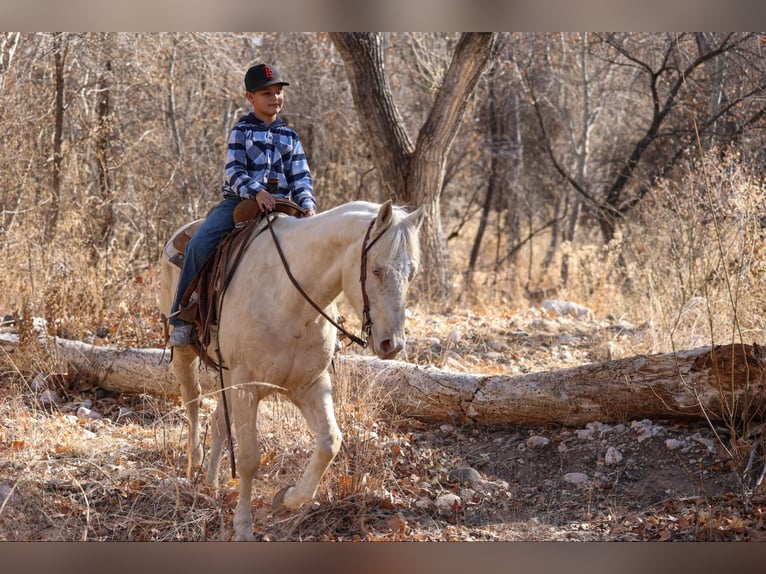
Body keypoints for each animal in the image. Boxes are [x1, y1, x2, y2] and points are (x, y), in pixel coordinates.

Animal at [159, 199, 422, 541]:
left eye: (412, 273)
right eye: (376, 269)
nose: (393, 344)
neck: (290, 297)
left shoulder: (309, 384)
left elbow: (329, 442)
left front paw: (286, 500)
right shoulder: (246, 386)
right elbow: (248, 459)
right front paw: (243, 527)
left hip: (228, 377)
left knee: (217, 423)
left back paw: (211, 483)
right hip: (185, 355)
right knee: (192, 404)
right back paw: (194, 468)